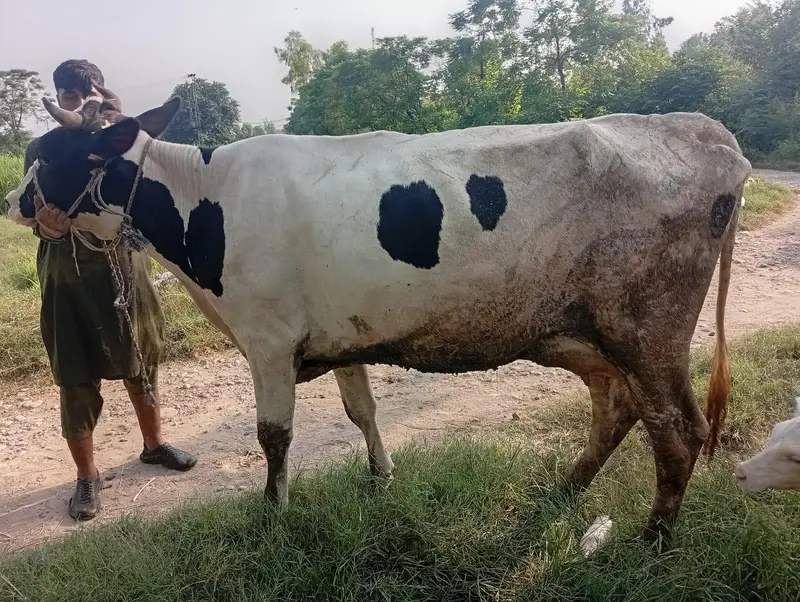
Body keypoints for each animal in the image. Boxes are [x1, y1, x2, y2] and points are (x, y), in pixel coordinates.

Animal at [5, 93, 751, 541]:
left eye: (50, 156)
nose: (15, 201)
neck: (202, 204)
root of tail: (707, 132)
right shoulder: (343, 335)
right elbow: (361, 410)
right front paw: (381, 478)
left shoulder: (268, 339)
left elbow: (274, 435)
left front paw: (273, 512)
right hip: (578, 330)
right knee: (616, 404)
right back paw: (563, 491)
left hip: (647, 326)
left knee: (677, 429)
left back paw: (653, 538)